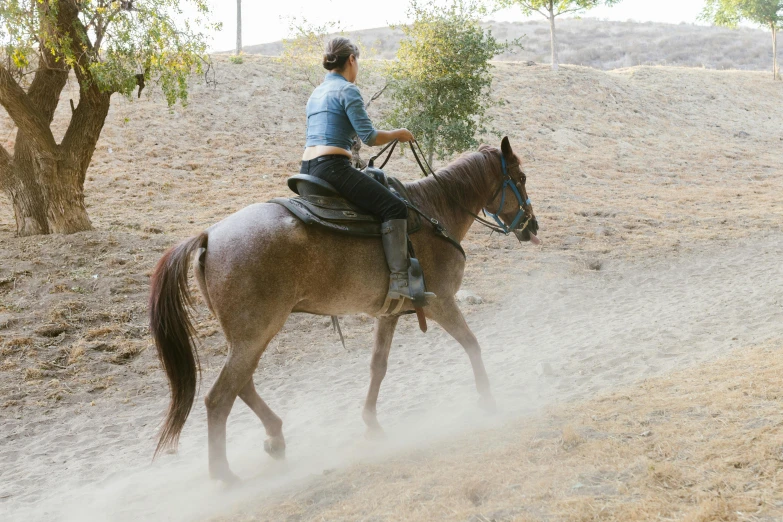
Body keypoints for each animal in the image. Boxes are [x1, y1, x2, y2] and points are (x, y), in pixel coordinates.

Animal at [149, 136, 540, 482]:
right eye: (520, 178)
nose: (532, 225)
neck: (433, 210)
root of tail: (209, 236)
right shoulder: (442, 302)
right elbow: (472, 344)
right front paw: (487, 401)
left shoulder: (389, 315)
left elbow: (378, 366)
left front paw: (371, 423)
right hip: (254, 336)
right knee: (219, 399)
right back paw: (224, 475)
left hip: (249, 339)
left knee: (242, 386)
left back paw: (274, 437)